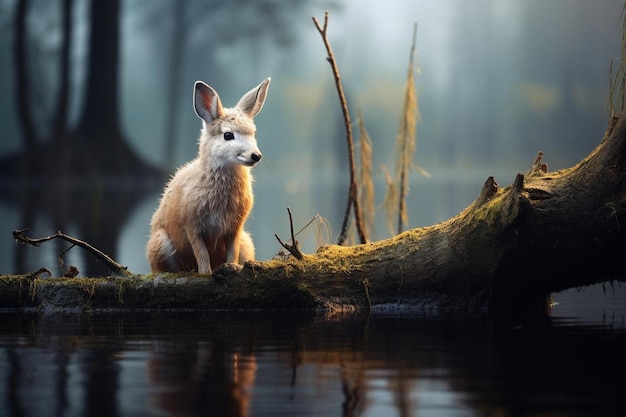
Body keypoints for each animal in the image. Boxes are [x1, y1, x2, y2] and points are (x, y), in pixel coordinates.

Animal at [149, 78, 272, 274]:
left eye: (254, 133)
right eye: (228, 135)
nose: (256, 156)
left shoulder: (234, 230)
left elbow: (232, 252)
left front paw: (232, 267)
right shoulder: (193, 228)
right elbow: (202, 255)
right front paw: (206, 273)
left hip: (246, 243)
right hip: (161, 245)